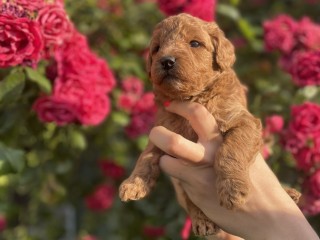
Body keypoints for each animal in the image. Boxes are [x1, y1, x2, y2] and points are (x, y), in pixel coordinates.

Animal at [119, 13, 300, 236]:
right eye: (157, 48)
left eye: (195, 43)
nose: (166, 61)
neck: (192, 98)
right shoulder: (162, 129)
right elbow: (146, 156)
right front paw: (133, 184)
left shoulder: (244, 121)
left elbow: (230, 150)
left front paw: (232, 189)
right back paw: (202, 221)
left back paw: (290, 193)